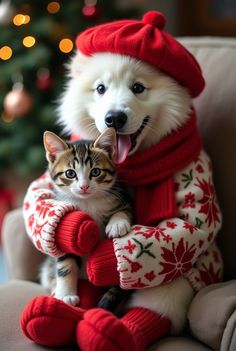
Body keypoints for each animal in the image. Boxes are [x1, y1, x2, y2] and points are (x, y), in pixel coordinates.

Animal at [41, 128, 133, 310]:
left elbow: (124, 211)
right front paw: (65, 295)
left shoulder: (124, 198)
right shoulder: (64, 237)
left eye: (95, 172)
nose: (84, 186)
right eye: (70, 173)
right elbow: (65, 263)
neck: (87, 201)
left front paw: (117, 224)